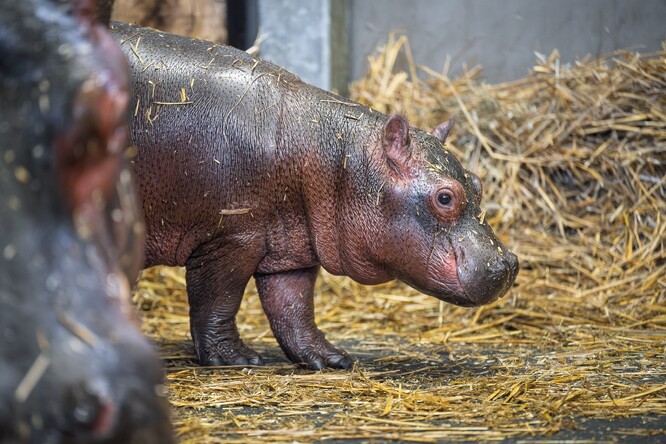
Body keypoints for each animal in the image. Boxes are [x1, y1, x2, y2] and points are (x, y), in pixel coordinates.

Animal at [110, 22, 519, 371]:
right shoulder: (231, 239)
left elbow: (293, 308)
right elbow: (217, 300)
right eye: (445, 198)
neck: (334, 155)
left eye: (478, 183)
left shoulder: (290, 249)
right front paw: (237, 359)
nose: (509, 262)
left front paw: (331, 360)